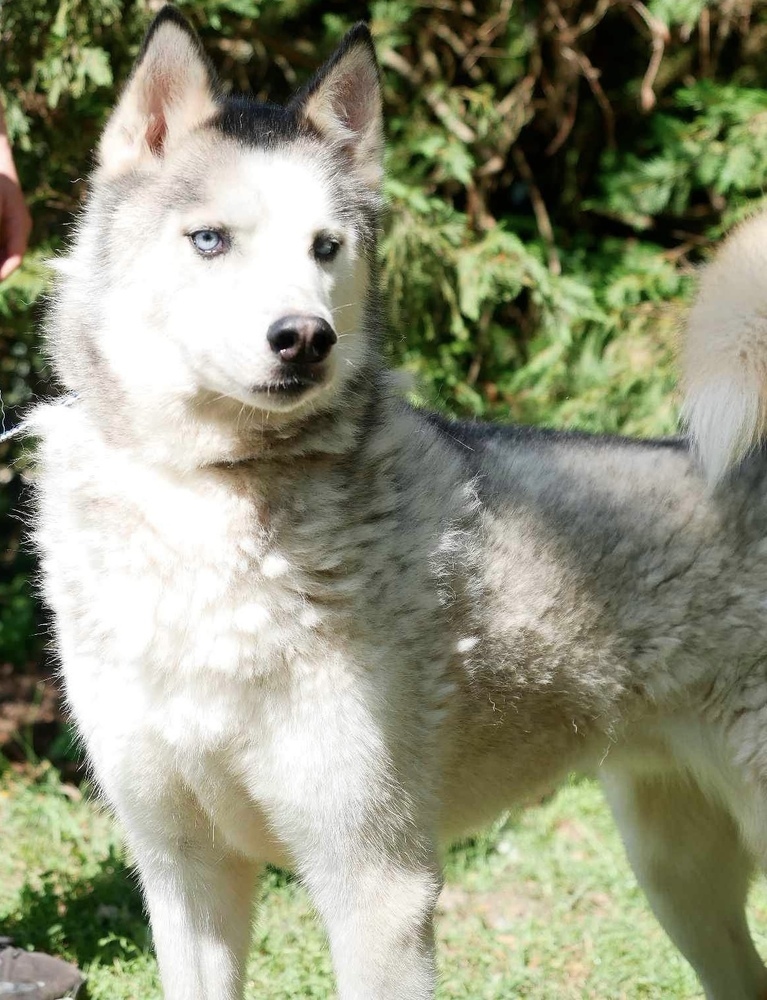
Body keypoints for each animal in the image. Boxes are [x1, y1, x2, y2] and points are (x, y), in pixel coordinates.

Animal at [30, 7, 767, 1000]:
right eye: (210, 240)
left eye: (325, 247)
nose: (305, 338)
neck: (208, 507)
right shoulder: (183, 875)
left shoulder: (375, 880)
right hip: (677, 875)